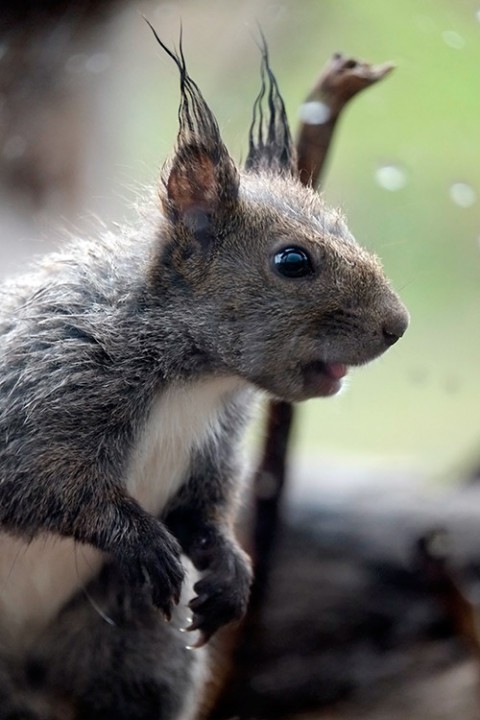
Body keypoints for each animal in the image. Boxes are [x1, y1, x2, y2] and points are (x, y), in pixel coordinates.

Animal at [0, 28, 408, 720]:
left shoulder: (214, 442)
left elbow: (207, 503)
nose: (397, 325)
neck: (195, 382)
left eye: (343, 225)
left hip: (130, 649)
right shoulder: (46, 387)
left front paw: (231, 570)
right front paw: (141, 540)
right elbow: (47, 485)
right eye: (293, 261)